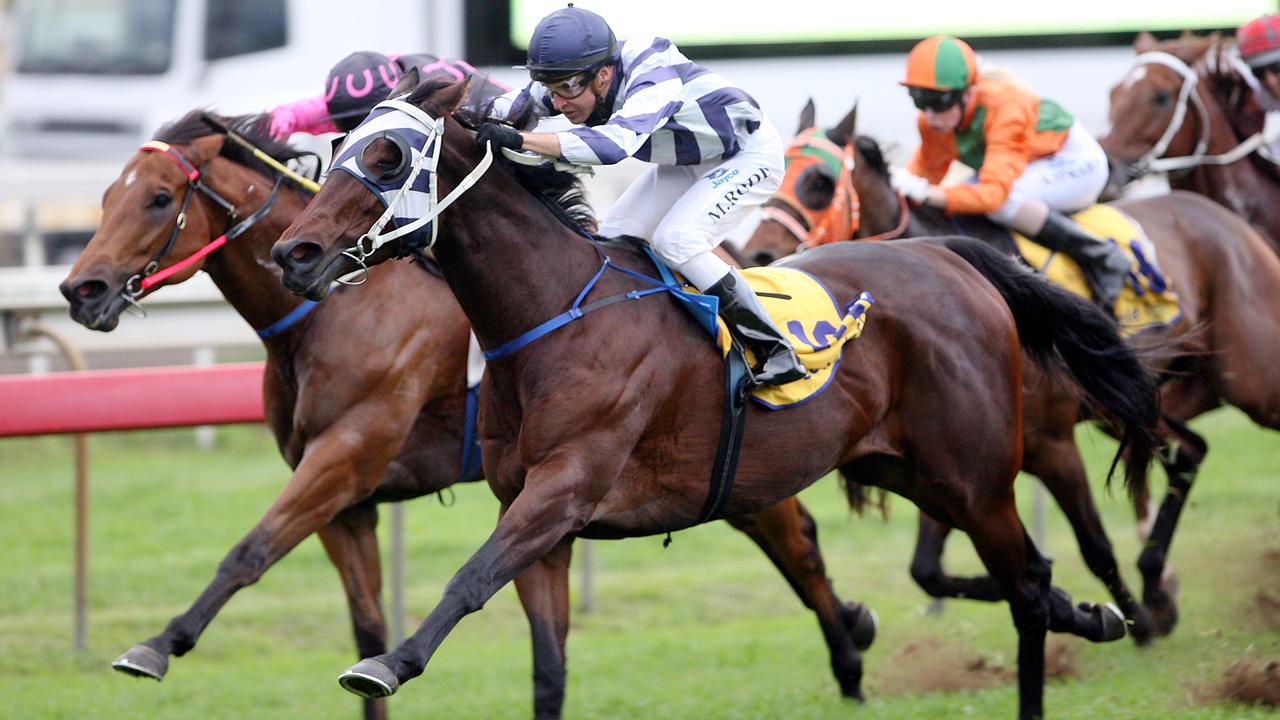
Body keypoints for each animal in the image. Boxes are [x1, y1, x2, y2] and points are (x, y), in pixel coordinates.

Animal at [60, 110, 880, 717]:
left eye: (158, 199)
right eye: (103, 197)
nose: (81, 290)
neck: (331, 316)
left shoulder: (346, 455)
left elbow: (250, 550)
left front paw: (157, 647)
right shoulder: (348, 500)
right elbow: (363, 617)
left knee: (799, 544)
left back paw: (851, 653)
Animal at [270, 74, 1162, 717]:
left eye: (389, 157)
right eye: (338, 146)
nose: (294, 253)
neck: (552, 316)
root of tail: (944, 254)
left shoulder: (564, 490)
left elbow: (467, 579)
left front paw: (386, 663)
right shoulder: (538, 521)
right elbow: (547, 668)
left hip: (975, 474)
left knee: (1025, 589)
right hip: (905, 469)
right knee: (1032, 577)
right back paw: (1097, 615)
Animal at [747, 102, 1280, 645]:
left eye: (818, 182)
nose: (758, 254)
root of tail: (1225, 217)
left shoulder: (1050, 443)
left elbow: (1096, 548)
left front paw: (1134, 622)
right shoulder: (950, 454)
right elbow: (928, 569)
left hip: (1251, 378)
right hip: (1132, 399)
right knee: (1187, 451)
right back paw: (1157, 585)